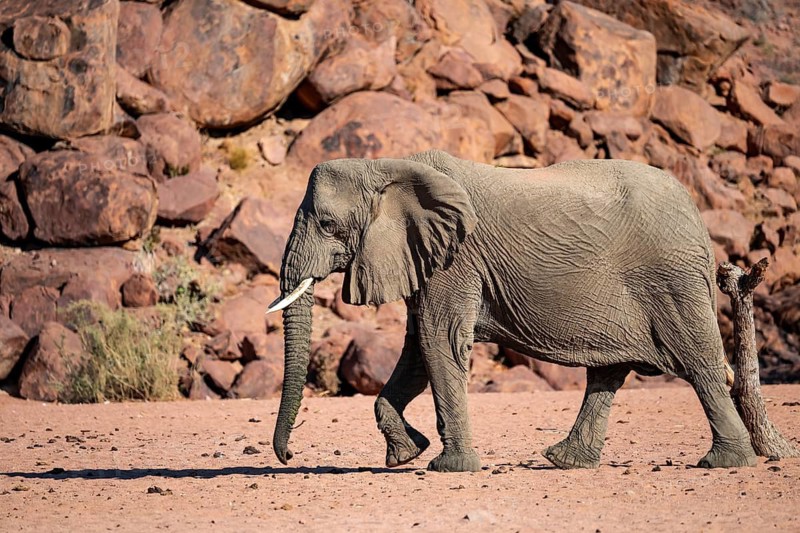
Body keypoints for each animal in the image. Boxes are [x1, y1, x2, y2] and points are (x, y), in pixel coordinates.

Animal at [267, 149, 757, 472]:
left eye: (327, 224)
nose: (289, 456)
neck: (387, 165)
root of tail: (695, 212)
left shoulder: (457, 258)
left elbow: (437, 339)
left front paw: (449, 467)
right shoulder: (427, 257)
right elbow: (416, 349)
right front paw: (406, 453)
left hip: (673, 280)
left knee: (700, 364)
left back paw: (725, 462)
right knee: (609, 371)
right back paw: (566, 461)